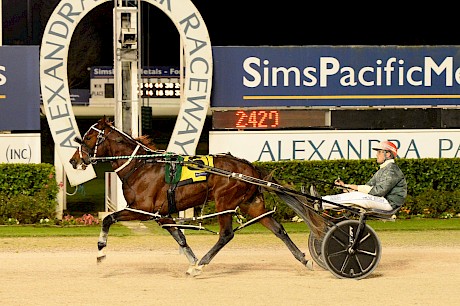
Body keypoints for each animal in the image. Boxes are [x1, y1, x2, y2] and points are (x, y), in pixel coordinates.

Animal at [69, 116, 320, 276]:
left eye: (88, 137)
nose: (73, 160)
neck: (142, 166)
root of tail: (250, 168)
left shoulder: (142, 209)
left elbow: (108, 219)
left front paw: (101, 251)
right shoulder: (163, 215)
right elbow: (180, 238)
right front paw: (191, 260)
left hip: (224, 202)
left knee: (226, 235)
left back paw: (202, 265)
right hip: (251, 204)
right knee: (278, 229)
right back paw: (304, 259)